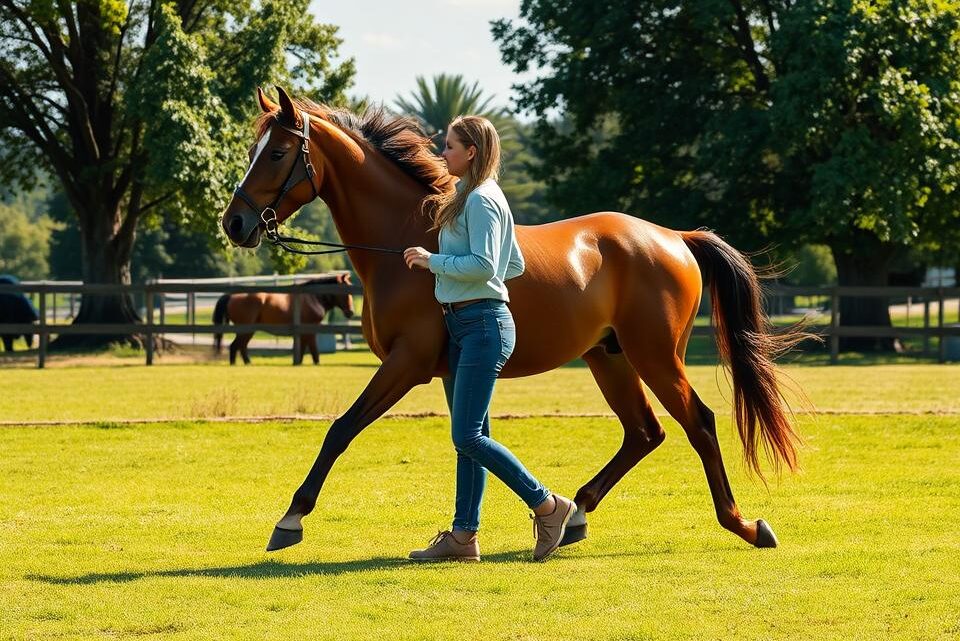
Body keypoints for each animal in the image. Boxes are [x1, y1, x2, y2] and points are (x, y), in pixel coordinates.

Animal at [212, 274, 355, 365]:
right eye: (346, 292)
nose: (351, 312)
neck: (312, 298)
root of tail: (230, 296)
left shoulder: (304, 332)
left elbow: (303, 349)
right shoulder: (309, 330)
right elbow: (313, 350)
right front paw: (315, 363)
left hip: (247, 331)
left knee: (240, 346)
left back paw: (247, 363)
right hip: (245, 329)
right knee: (235, 346)